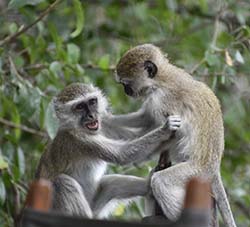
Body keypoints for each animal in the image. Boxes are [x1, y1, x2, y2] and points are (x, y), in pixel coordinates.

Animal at [35, 83, 181, 218]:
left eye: (92, 101)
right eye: (79, 107)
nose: (91, 115)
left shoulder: (104, 124)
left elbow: (136, 141)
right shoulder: (80, 140)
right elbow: (122, 155)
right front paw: (166, 129)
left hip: (95, 206)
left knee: (111, 184)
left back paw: (149, 186)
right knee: (62, 182)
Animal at [114, 44, 237, 227]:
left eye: (126, 84)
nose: (126, 91)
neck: (160, 79)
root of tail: (214, 168)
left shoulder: (161, 101)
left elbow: (167, 133)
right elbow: (146, 119)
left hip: (197, 173)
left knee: (160, 181)